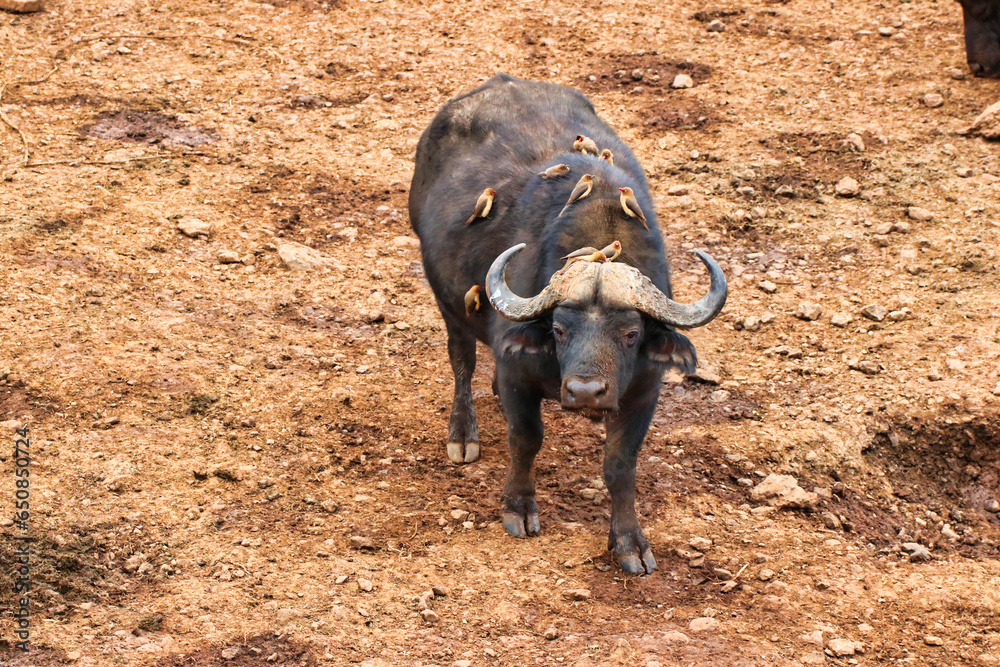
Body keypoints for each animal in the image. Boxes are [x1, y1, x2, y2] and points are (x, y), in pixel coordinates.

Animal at [409, 74, 727, 573]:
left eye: (631, 334)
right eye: (558, 330)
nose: (584, 392)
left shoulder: (644, 390)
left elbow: (620, 465)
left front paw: (630, 542)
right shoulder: (517, 373)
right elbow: (526, 440)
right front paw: (518, 508)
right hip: (449, 299)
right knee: (461, 359)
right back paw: (463, 433)